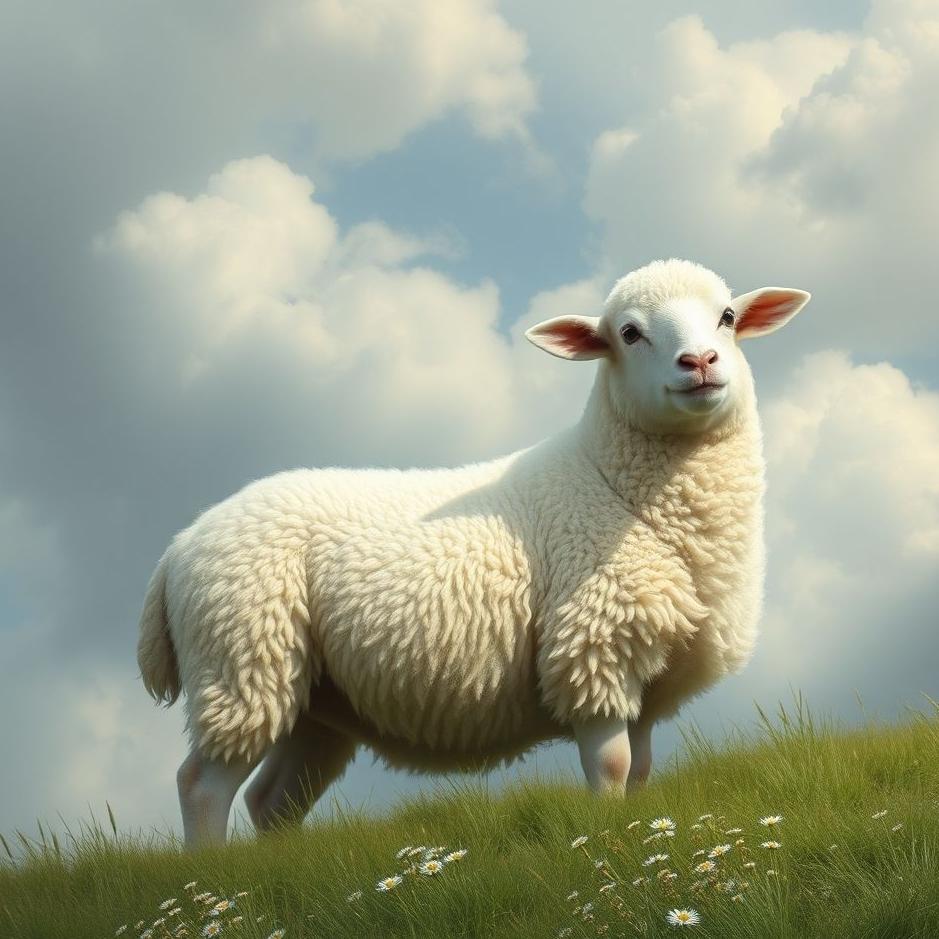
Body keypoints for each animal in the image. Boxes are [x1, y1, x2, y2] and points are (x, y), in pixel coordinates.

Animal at [137, 258, 810, 847]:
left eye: (727, 316)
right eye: (628, 332)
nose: (700, 361)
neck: (613, 485)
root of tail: (178, 546)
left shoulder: (648, 674)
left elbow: (640, 771)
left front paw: (641, 830)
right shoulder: (591, 651)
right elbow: (614, 767)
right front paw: (605, 837)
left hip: (308, 697)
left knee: (271, 800)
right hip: (239, 656)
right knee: (202, 784)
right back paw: (211, 875)